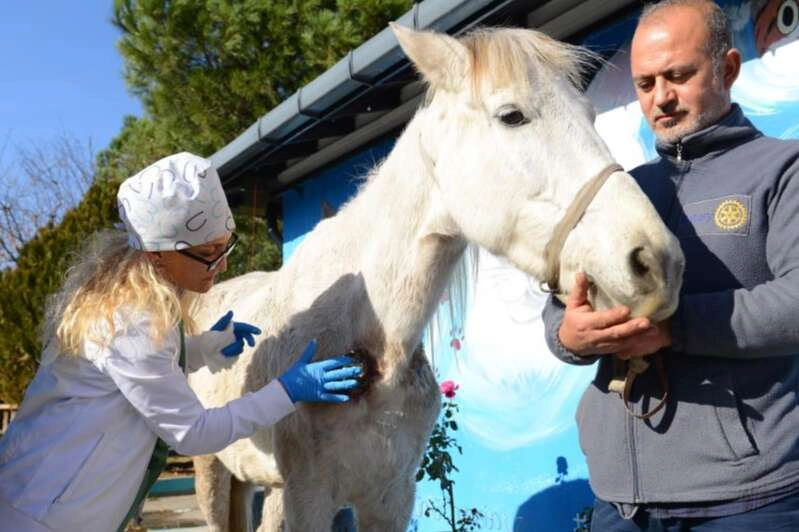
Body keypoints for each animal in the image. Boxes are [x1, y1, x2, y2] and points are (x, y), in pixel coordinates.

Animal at [186, 22, 680, 528]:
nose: (656, 260)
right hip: (215, 473)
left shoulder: (391, 496)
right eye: (511, 116)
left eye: (590, 114)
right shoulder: (307, 498)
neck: (370, 337)